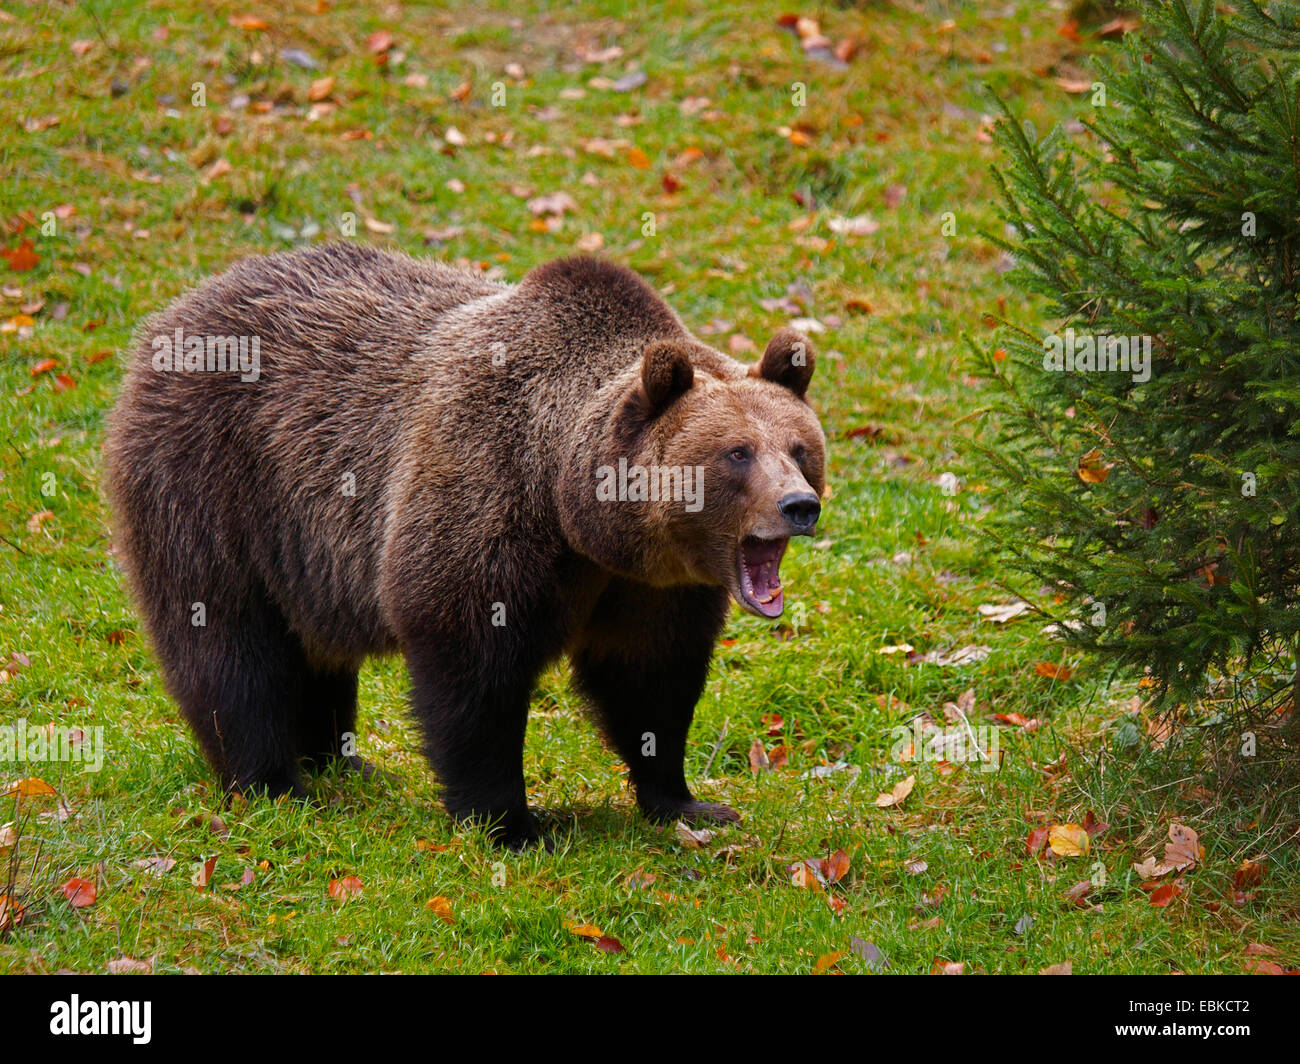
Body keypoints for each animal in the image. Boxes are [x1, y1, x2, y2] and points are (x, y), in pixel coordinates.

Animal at [104, 243, 826, 848]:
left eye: (799, 448)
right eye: (738, 453)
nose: (800, 506)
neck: (577, 512)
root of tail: (182, 307)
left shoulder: (653, 587)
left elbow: (652, 680)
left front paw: (686, 799)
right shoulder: (484, 500)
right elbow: (472, 673)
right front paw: (511, 823)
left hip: (302, 550)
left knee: (312, 646)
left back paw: (342, 761)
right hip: (214, 481)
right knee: (228, 641)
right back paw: (275, 783)